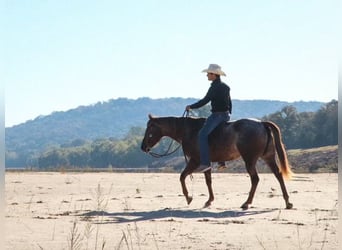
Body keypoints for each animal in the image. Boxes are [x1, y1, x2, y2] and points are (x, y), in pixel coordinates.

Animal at [140, 114, 292, 210]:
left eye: (150, 128)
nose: (143, 147)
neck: (188, 130)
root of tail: (261, 124)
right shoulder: (206, 164)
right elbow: (208, 181)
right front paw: (209, 200)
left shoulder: (195, 161)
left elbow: (182, 176)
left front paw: (188, 197)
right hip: (268, 157)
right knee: (278, 175)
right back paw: (287, 201)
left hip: (249, 160)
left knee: (255, 179)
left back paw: (247, 203)